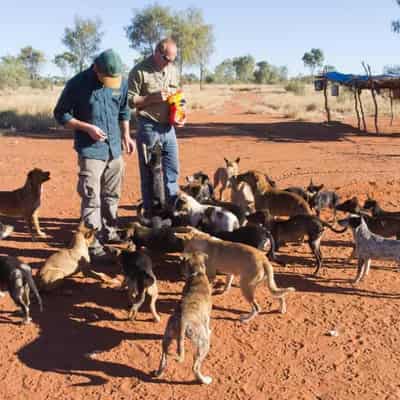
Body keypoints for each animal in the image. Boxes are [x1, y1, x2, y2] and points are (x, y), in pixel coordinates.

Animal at [154, 252, 214, 386]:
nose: (179, 271)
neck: (197, 273)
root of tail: (183, 320)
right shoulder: (207, 317)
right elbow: (208, 325)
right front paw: (209, 330)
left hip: (167, 338)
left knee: (163, 359)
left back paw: (158, 373)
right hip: (203, 344)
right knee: (195, 367)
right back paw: (204, 380)